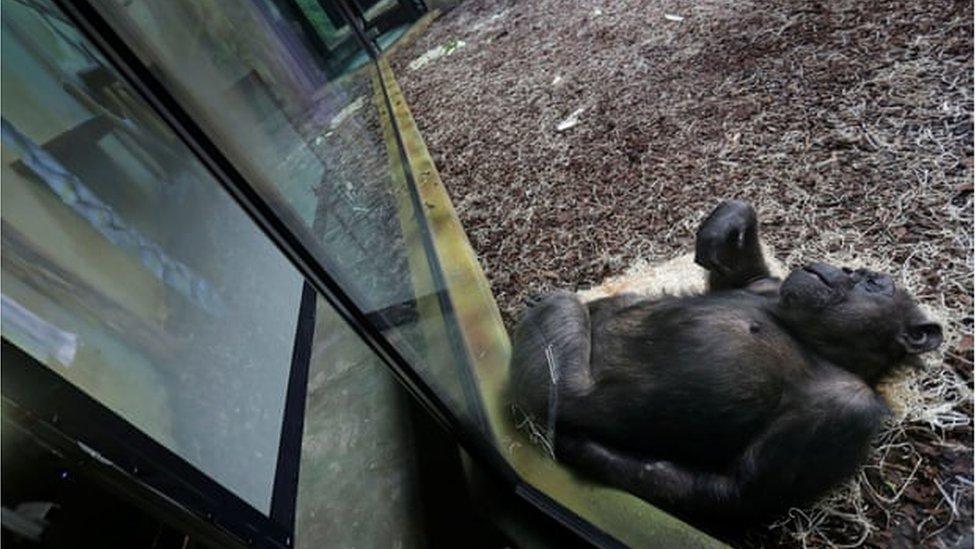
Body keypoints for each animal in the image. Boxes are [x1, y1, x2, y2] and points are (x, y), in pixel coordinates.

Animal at [510, 200, 944, 528]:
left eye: (872, 283)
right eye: (856, 271)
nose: (843, 270)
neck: (815, 341)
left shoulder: (847, 411)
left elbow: (737, 493)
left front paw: (578, 447)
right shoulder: (767, 286)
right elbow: (737, 272)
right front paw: (724, 227)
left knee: (562, 310)